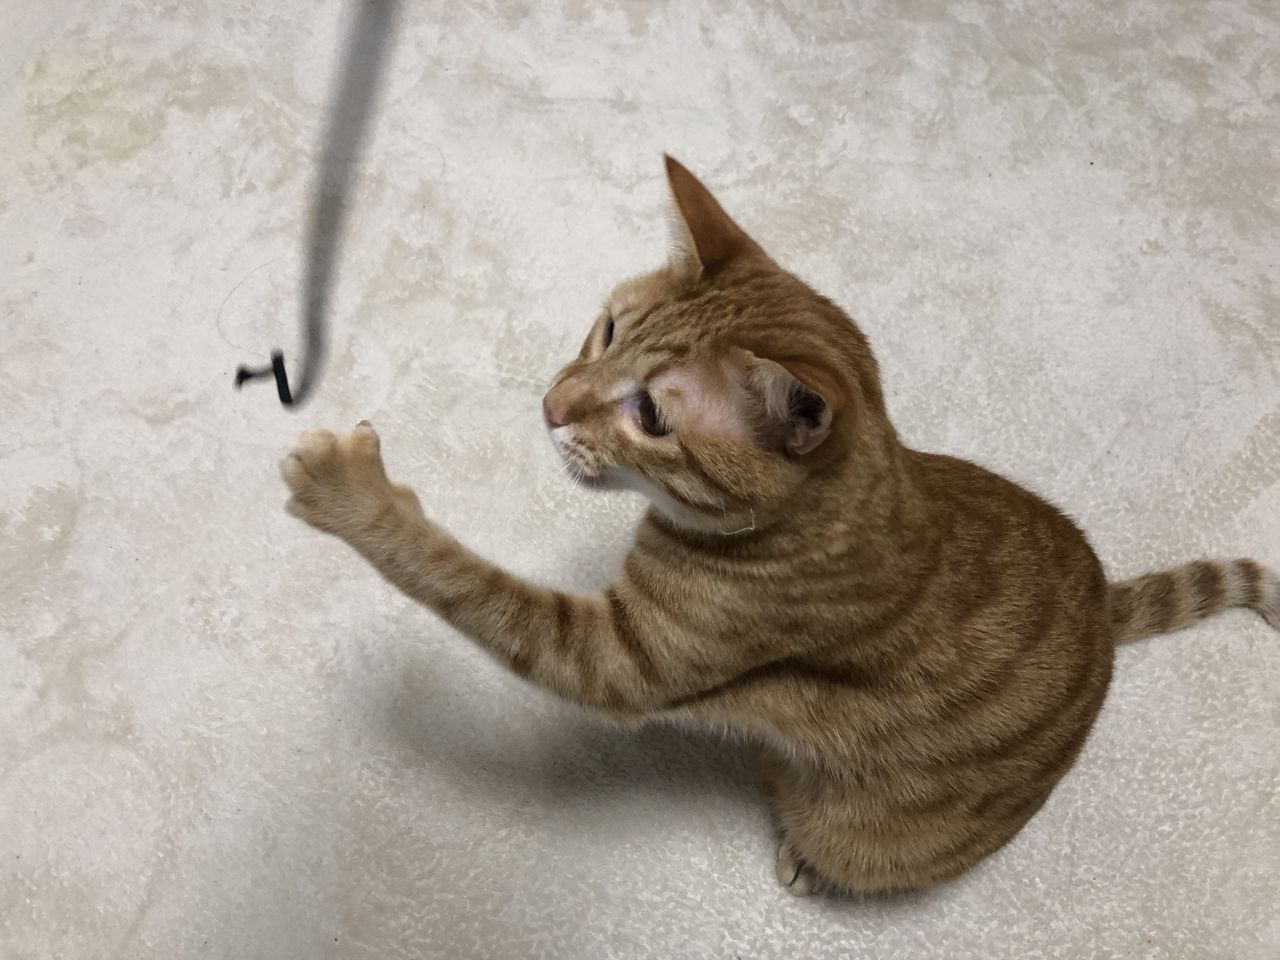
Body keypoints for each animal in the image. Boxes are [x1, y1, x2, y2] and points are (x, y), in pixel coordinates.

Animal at [280, 156, 1279, 895]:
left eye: (652, 415)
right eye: (608, 331)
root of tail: (1104, 612)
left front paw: (353, 495)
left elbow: (463, 582)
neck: (833, 513)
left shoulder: (617, 660)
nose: (550, 406)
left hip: (865, 835)